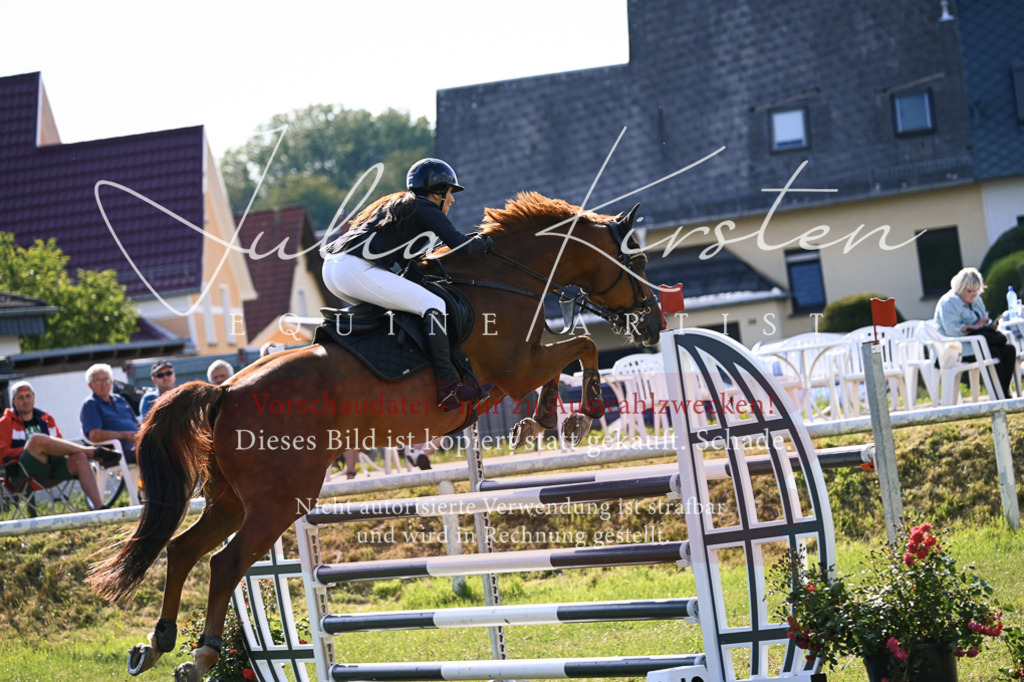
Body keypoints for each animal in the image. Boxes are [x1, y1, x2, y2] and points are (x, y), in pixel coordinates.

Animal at [87, 191, 663, 681]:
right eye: (636, 262)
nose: (654, 324)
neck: (504, 279)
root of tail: (225, 388)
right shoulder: (515, 370)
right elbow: (584, 346)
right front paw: (580, 413)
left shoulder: (523, 368)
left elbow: (566, 361)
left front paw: (539, 422)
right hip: (280, 501)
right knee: (225, 562)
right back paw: (203, 654)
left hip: (231, 499)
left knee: (183, 549)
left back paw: (159, 645)